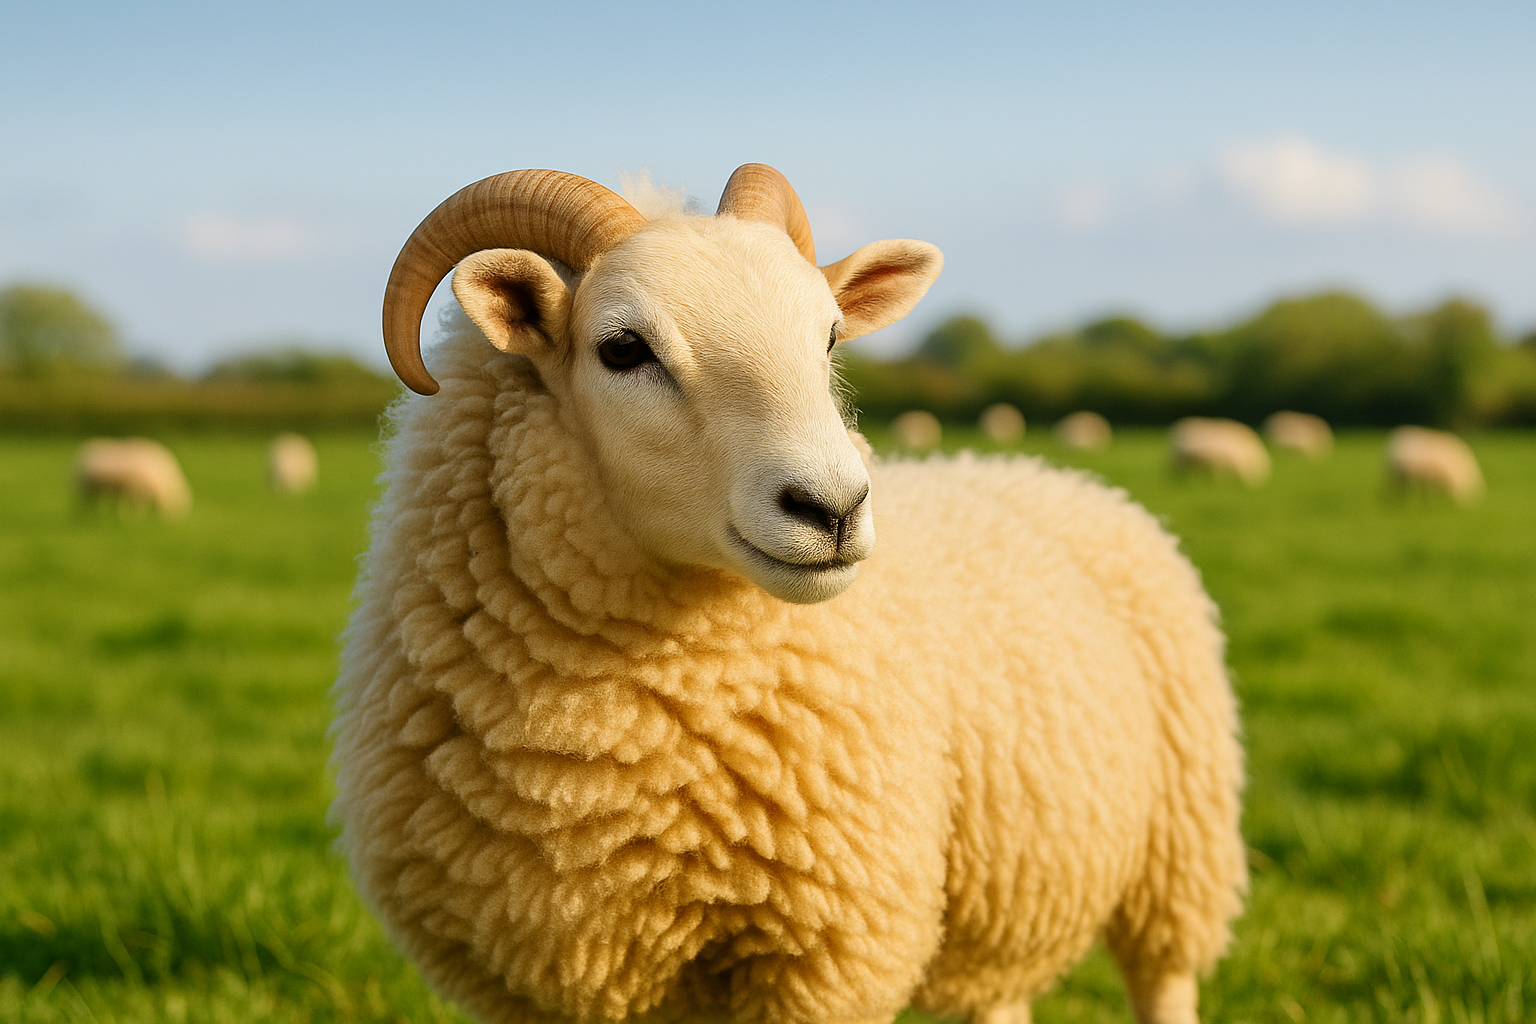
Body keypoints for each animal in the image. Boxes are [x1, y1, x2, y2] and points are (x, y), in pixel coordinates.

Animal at [332, 164, 1246, 1024]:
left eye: (831, 335)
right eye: (622, 349)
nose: (833, 508)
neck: (603, 762)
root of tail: (1050, 474)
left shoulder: (829, 956)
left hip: (1179, 851)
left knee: (1165, 979)